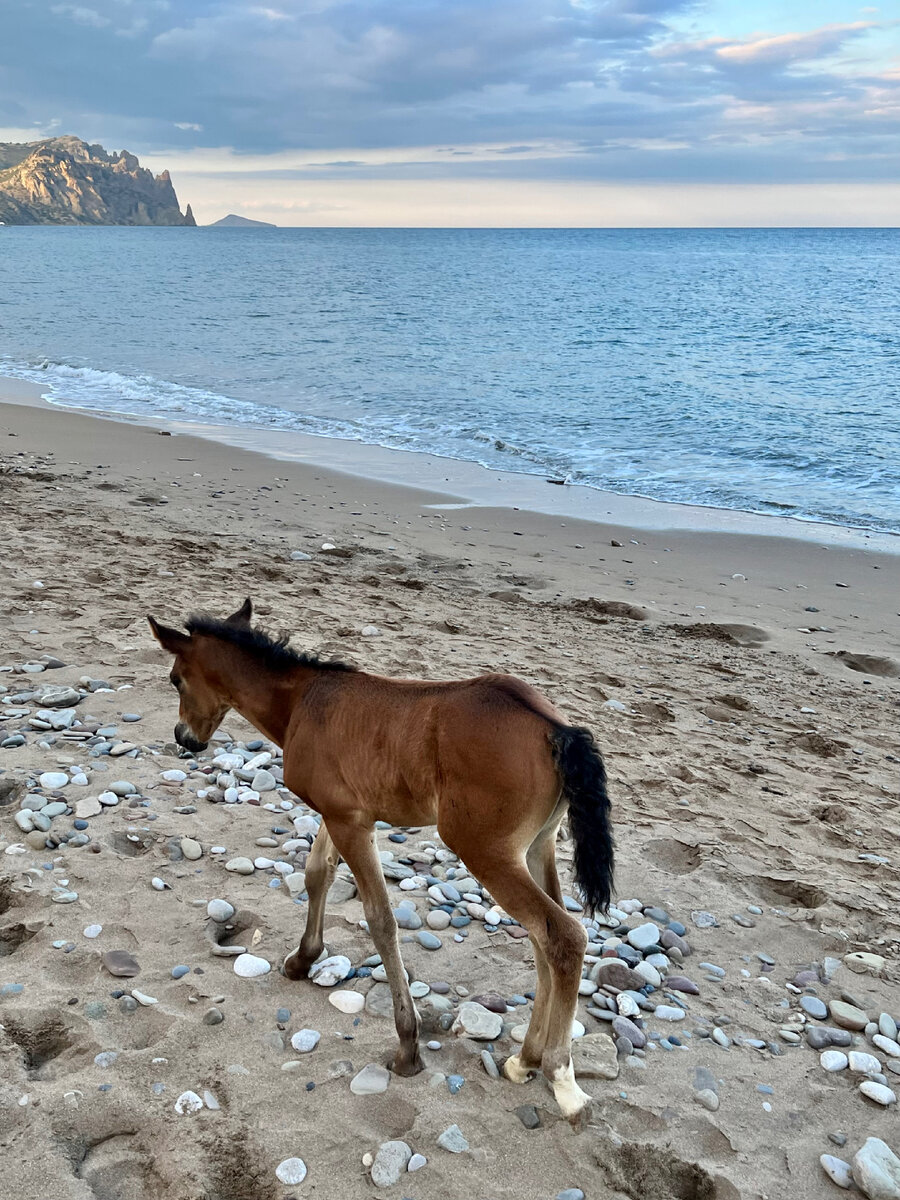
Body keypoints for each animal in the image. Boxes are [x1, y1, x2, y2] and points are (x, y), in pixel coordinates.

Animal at [150, 595, 614, 1118]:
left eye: (176, 678)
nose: (184, 737)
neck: (302, 703)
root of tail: (556, 727)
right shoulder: (343, 814)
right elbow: (317, 874)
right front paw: (302, 959)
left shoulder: (350, 822)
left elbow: (380, 919)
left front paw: (408, 1045)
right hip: (538, 847)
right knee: (543, 939)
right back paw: (525, 1060)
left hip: (485, 850)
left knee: (562, 936)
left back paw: (561, 1077)